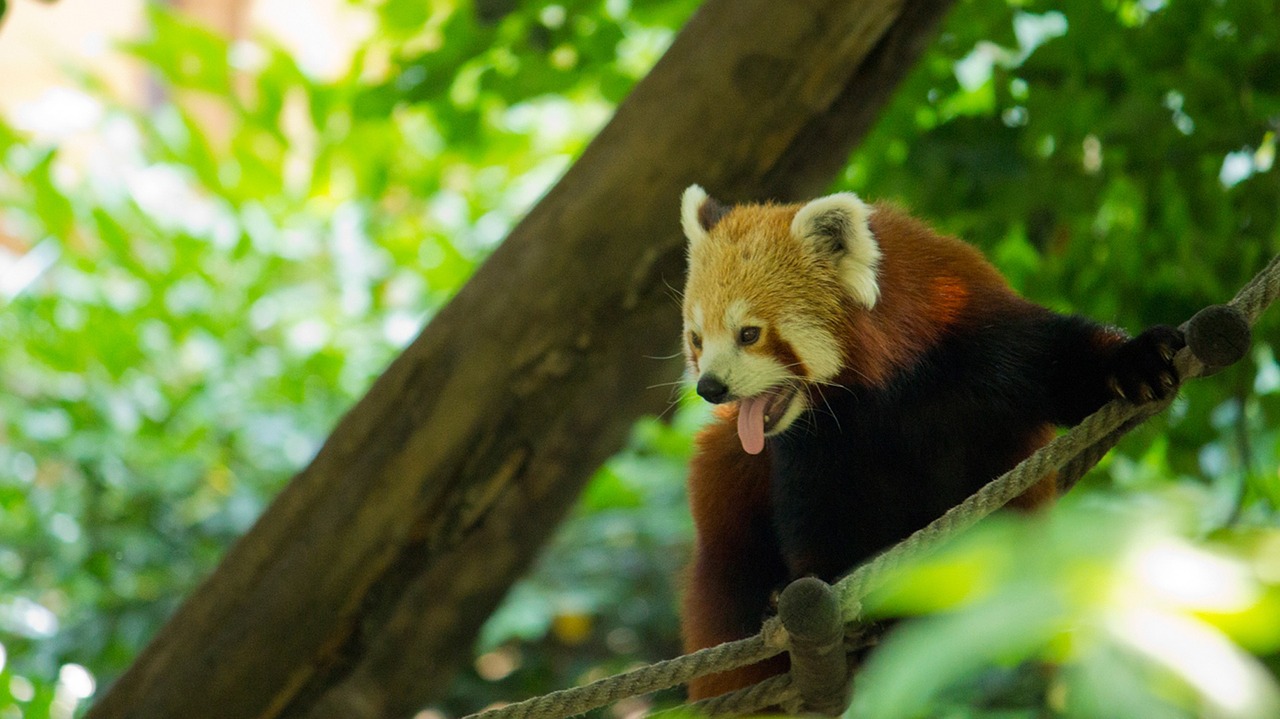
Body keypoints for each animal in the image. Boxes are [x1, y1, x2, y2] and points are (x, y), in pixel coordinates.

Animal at [675, 185, 1182, 701]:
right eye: (697, 339)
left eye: (749, 334)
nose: (710, 387)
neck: (883, 385)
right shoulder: (815, 443)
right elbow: (818, 513)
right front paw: (832, 592)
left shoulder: (969, 326)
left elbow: (1061, 358)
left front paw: (1135, 359)